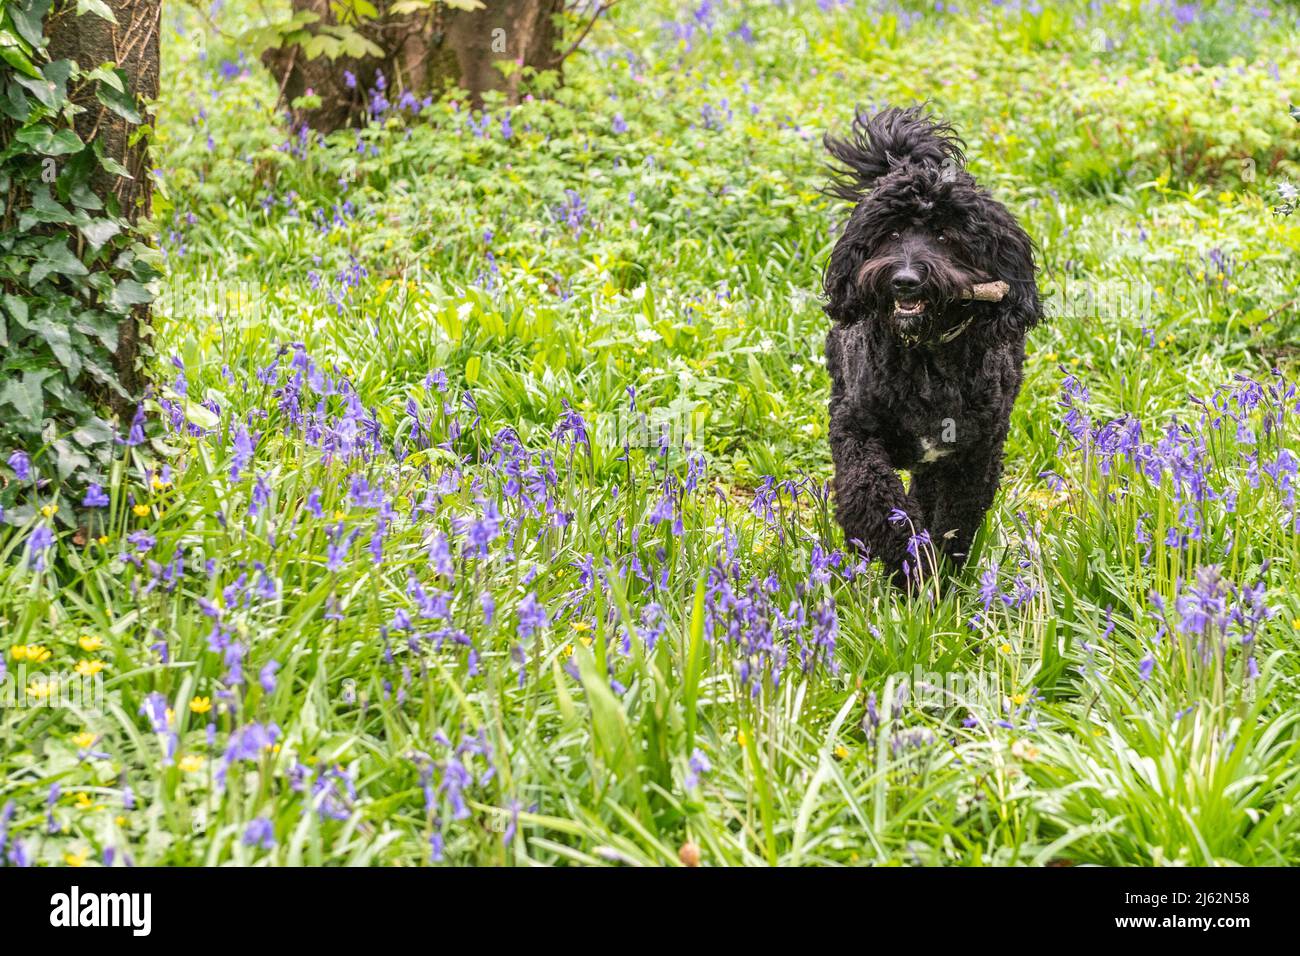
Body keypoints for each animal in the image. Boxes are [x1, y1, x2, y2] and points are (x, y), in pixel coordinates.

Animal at [821, 104, 1045, 582]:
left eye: (946, 236)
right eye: (890, 234)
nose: (904, 280)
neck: (926, 357)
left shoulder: (975, 454)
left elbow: (955, 519)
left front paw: (940, 574)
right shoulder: (854, 427)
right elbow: (873, 493)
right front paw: (909, 562)